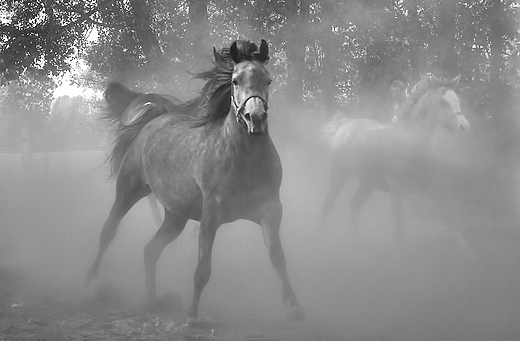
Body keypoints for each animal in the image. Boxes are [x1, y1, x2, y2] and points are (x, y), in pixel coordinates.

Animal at [87, 39, 302, 318]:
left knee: (150, 250)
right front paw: (192, 314)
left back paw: (152, 300)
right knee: (109, 231)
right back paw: (91, 282)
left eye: (268, 80)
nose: (255, 118)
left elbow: (278, 257)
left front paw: (294, 306)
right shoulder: (211, 214)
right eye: (235, 80)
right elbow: (202, 269)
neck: (243, 159)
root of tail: (154, 117)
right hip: (129, 190)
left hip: (175, 216)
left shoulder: (270, 210)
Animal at [320, 75, 472, 238]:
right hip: (339, 173)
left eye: (458, 100)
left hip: (368, 183)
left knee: (354, 206)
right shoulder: (396, 189)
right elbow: (399, 228)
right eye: (443, 102)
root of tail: (344, 124)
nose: (465, 127)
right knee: (328, 203)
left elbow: (453, 225)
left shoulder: (431, 189)